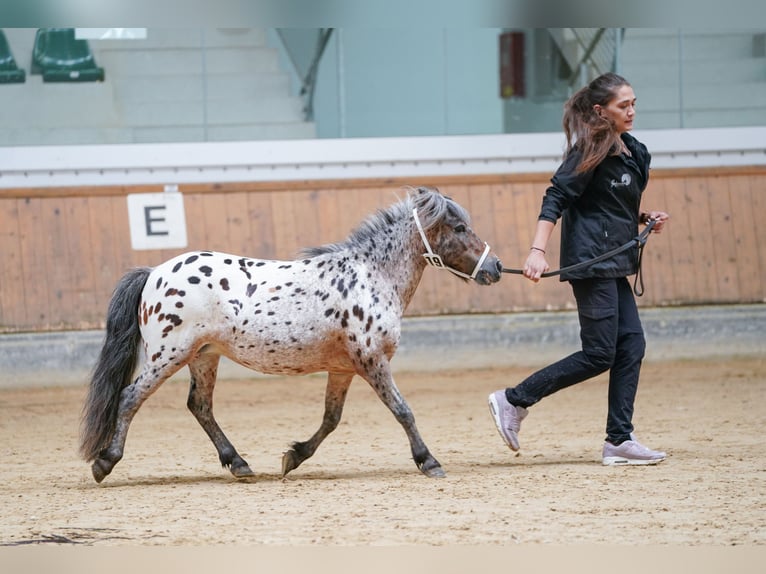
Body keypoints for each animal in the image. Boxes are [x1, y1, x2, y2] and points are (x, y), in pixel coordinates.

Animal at [81, 187, 508, 484]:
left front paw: (293, 457)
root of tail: (155, 272)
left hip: (204, 356)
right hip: (169, 354)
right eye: (459, 228)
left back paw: (239, 464)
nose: (496, 268)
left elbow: (331, 419)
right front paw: (429, 461)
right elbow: (403, 410)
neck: (372, 276)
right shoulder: (372, 361)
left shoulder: (344, 369)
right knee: (130, 397)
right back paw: (105, 463)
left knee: (199, 406)